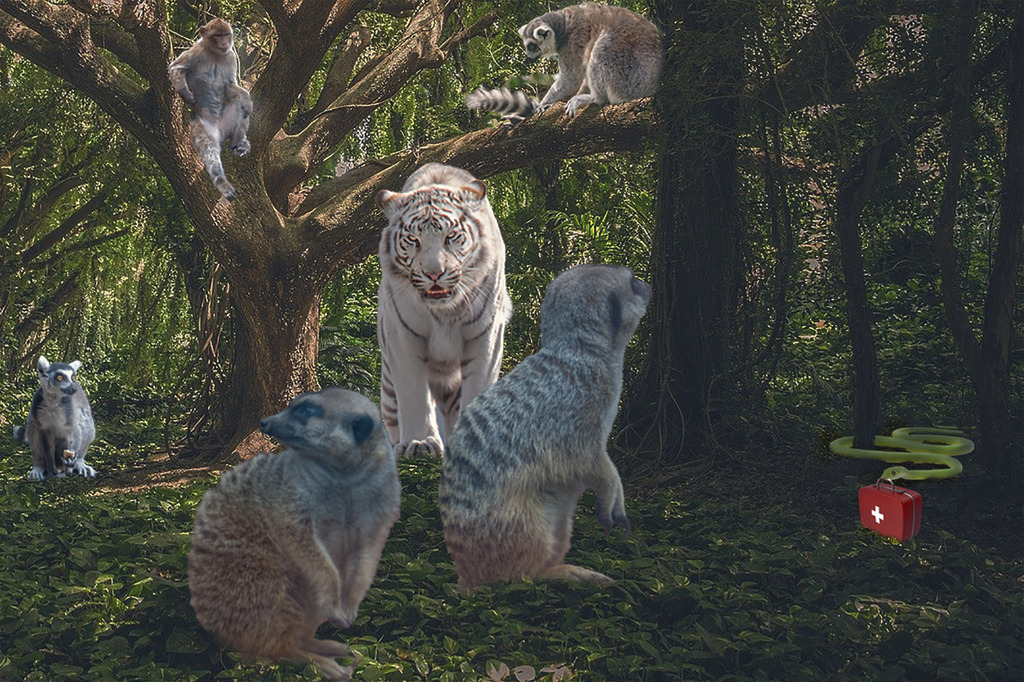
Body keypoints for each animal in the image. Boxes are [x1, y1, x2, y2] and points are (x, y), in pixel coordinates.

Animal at [374, 163, 513, 458]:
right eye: (413, 240)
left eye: (451, 237)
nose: (434, 273)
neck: (446, 312)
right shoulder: (403, 335)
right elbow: (414, 393)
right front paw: (419, 442)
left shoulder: (486, 335)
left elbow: (478, 386)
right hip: (389, 389)